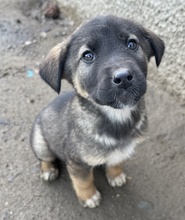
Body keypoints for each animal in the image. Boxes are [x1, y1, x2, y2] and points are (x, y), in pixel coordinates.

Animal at [30, 15, 165, 208]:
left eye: (132, 44)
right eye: (87, 56)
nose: (123, 77)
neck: (117, 116)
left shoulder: (121, 151)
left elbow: (116, 161)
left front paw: (115, 175)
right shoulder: (76, 163)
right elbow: (83, 181)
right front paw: (89, 197)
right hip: (39, 142)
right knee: (45, 158)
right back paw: (49, 170)